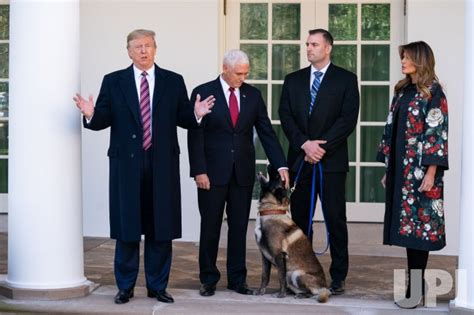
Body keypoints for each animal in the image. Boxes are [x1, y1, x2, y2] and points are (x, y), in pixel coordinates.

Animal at [256, 168, 330, 304]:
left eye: (276, 177)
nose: (281, 171)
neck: (271, 211)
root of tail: (325, 288)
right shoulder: (264, 256)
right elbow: (264, 276)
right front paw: (260, 291)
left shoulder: (279, 255)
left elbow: (280, 277)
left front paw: (281, 294)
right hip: (290, 275)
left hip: (296, 273)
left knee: (312, 293)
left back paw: (300, 295)